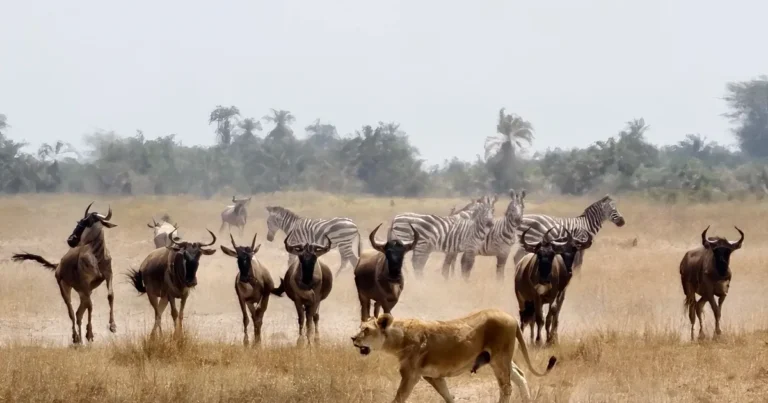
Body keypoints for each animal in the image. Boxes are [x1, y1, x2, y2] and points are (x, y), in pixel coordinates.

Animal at [12, 202, 118, 344]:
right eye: (80, 221)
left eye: (89, 221)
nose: (71, 240)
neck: (97, 258)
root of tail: (58, 266)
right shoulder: (85, 283)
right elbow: (90, 306)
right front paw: (90, 334)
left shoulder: (107, 276)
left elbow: (110, 295)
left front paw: (113, 326)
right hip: (67, 289)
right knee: (72, 312)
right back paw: (76, 338)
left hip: (83, 291)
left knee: (79, 313)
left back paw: (80, 339)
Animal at [350, 308, 557, 403]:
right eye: (360, 328)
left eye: (366, 330)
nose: (353, 338)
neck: (397, 337)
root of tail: (510, 316)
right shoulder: (432, 376)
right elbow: (448, 396)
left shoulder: (411, 375)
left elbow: (399, 398)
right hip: (500, 359)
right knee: (520, 376)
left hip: (500, 357)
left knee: (506, 387)